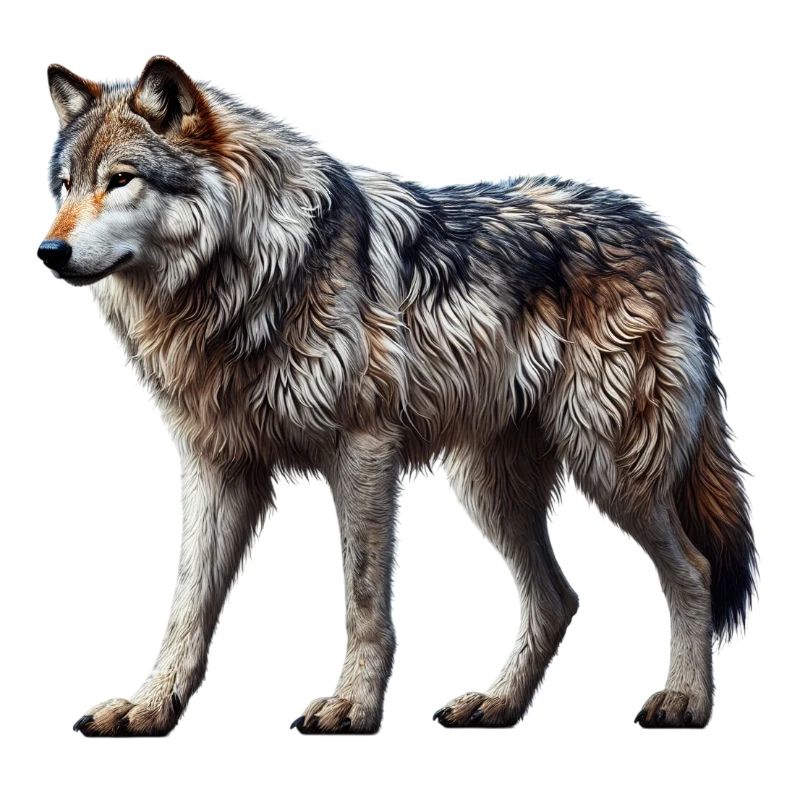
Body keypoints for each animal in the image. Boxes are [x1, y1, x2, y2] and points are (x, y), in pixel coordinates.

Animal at [39, 56, 755, 736]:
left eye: (120, 179)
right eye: (67, 186)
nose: (49, 250)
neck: (243, 278)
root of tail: (665, 239)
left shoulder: (363, 450)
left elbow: (362, 599)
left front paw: (353, 706)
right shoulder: (216, 464)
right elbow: (186, 603)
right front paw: (149, 707)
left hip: (611, 466)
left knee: (693, 570)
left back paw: (685, 701)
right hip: (491, 488)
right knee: (558, 599)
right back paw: (496, 704)